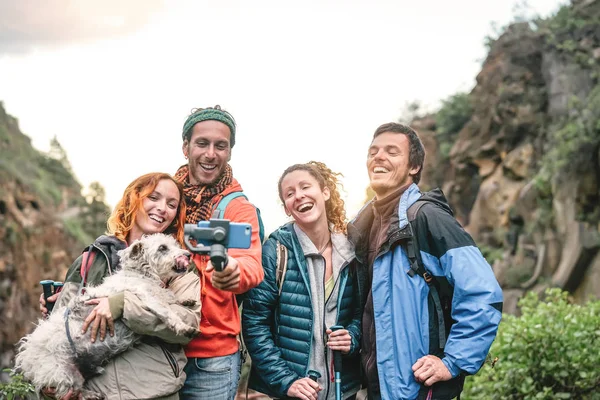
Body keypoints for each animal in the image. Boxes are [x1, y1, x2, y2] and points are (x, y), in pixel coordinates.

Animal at [14, 234, 199, 400]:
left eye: (174, 244)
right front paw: (184, 327)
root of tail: (25, 359)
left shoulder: (157, 293)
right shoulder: (145, 297)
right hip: (63, 374)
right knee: (70, 393)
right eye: (162, 248)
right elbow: (166, 310)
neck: (140, 274)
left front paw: (186, 300)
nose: (188, 255)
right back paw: (90, 395)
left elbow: (170, 298)